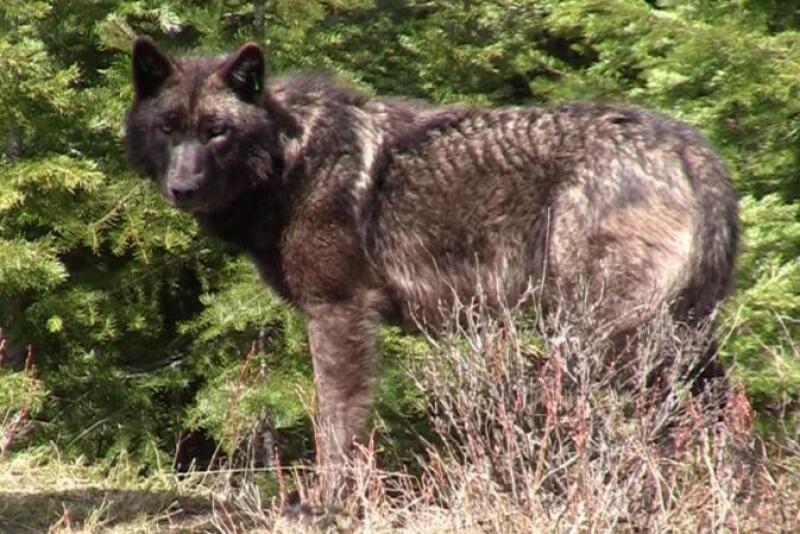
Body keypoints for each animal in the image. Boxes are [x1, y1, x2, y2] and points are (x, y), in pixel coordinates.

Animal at [125, 38, 738, 470]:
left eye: (217, 132)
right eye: (168, 128)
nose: (182, 188)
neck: (290, 159)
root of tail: (693, 148)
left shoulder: (339, 312)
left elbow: (335, 431)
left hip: (609, 343)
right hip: (678, 341)